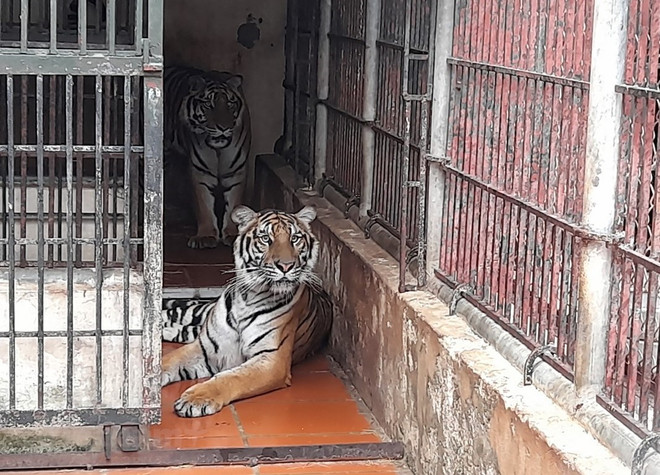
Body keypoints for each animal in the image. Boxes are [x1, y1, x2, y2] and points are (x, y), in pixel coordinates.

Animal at [161, 205, 333, 418]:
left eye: (295, 238)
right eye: (266, 238)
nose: (286, 266)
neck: (248, 298)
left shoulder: (271, 360)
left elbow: (230, 377)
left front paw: (195, 399)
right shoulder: (203, 347)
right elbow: (167, 360)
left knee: (181, 328)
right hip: (198, 313)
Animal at [164, 65, 251, 249]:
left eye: (230, 104)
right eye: (208, 105)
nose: (224, 128)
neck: (218, 149)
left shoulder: (236, 171)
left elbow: (234, 205)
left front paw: (232, 234)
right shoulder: (200, 171)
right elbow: (203, 205)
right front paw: (205, 236)